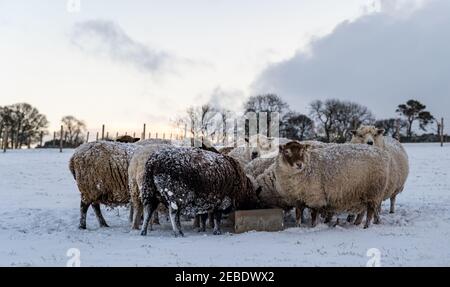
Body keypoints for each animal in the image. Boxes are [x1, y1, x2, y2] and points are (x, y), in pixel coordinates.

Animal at [256, 142, 390, 230]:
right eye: (286, 152)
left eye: (302, 151)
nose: (299, 164)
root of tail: (381, 154)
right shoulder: (297, 199)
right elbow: (298, 214)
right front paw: (298, 226)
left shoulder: (315, 197)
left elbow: (314, 214)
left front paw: (313, 227)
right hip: (362, 194)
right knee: (363, 211)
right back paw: (357, 224)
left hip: (373, 192)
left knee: (370, 211)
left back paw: (366, 226)